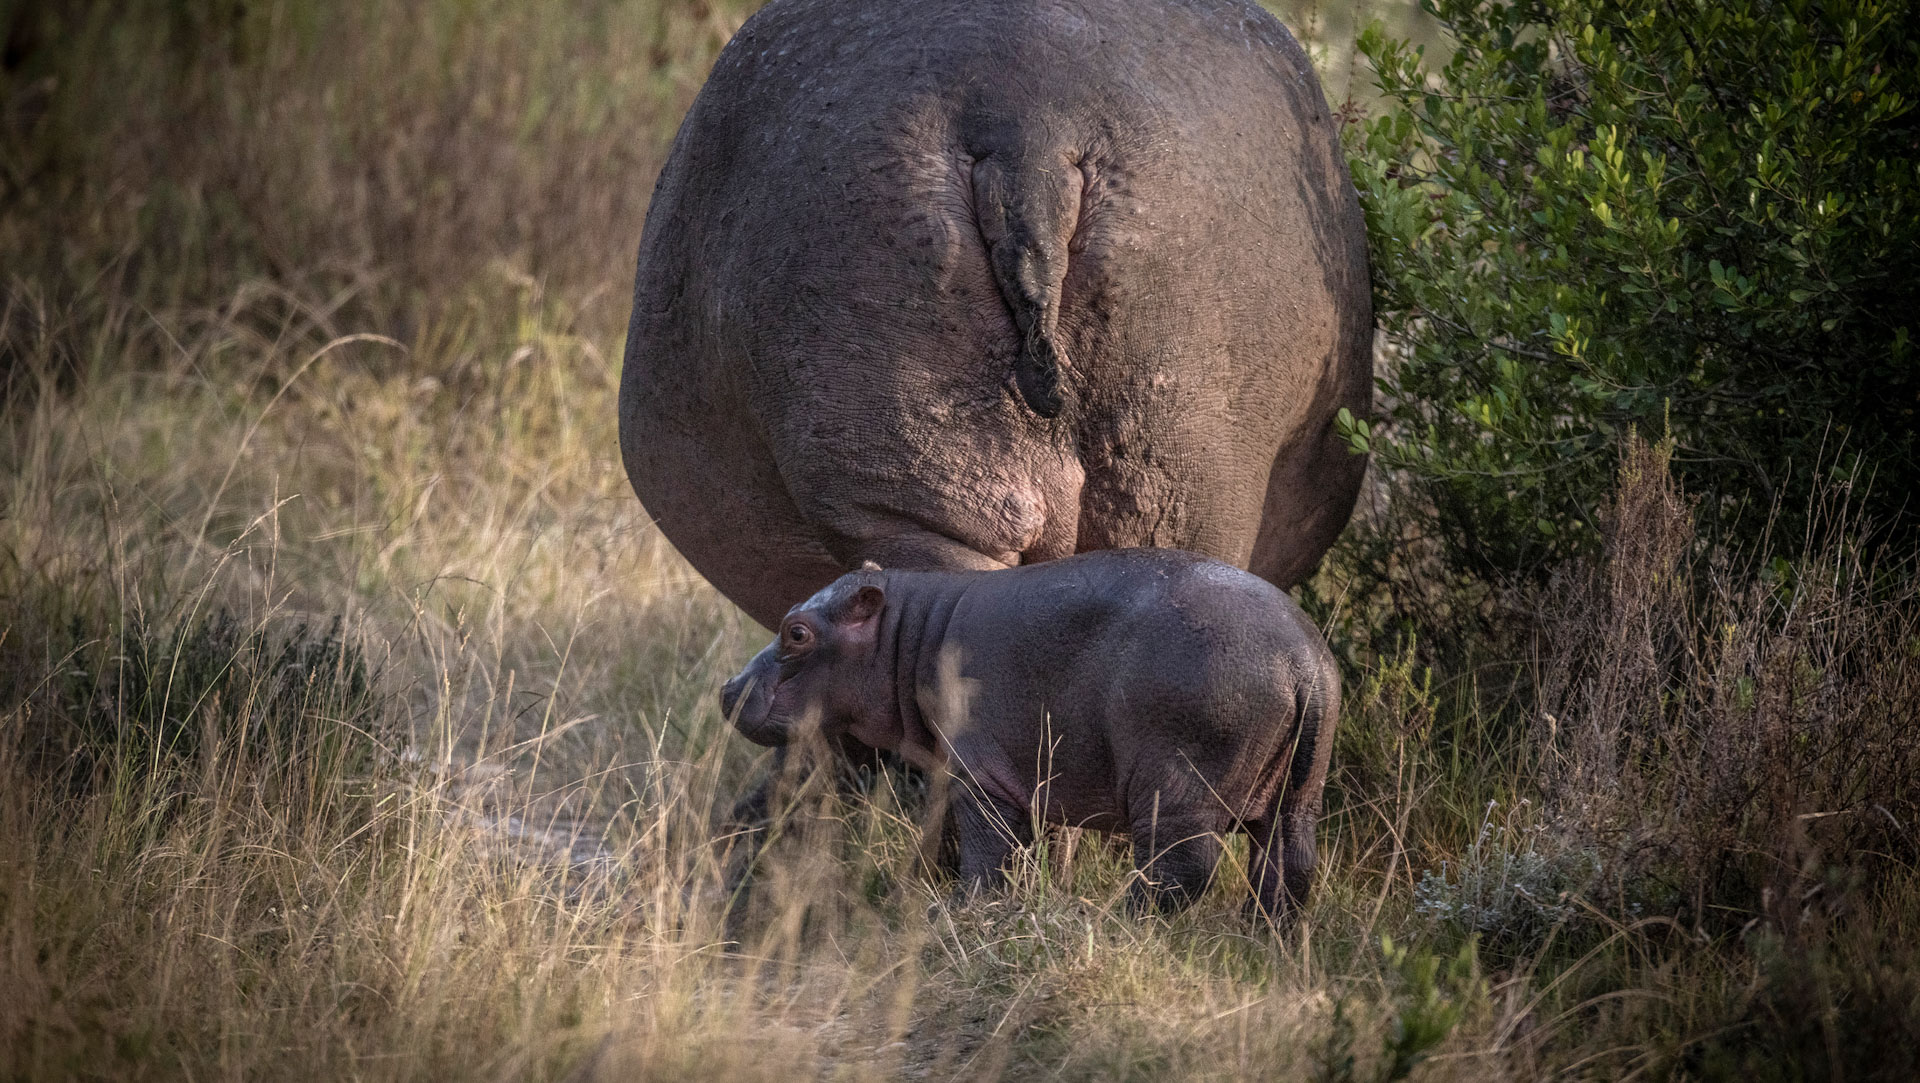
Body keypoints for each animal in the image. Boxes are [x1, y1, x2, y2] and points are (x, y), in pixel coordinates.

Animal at [719, 549, 1340, 918]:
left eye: (797, 632)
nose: (728, 688)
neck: (906, 635)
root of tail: (1301, 661)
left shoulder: (980, 772)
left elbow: (988, 850)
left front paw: (958, 911)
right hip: (1299, 792)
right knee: (1290, 865)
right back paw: (1262, 935)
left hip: (1176, 784)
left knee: (1183, 867)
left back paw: (1115, 919)